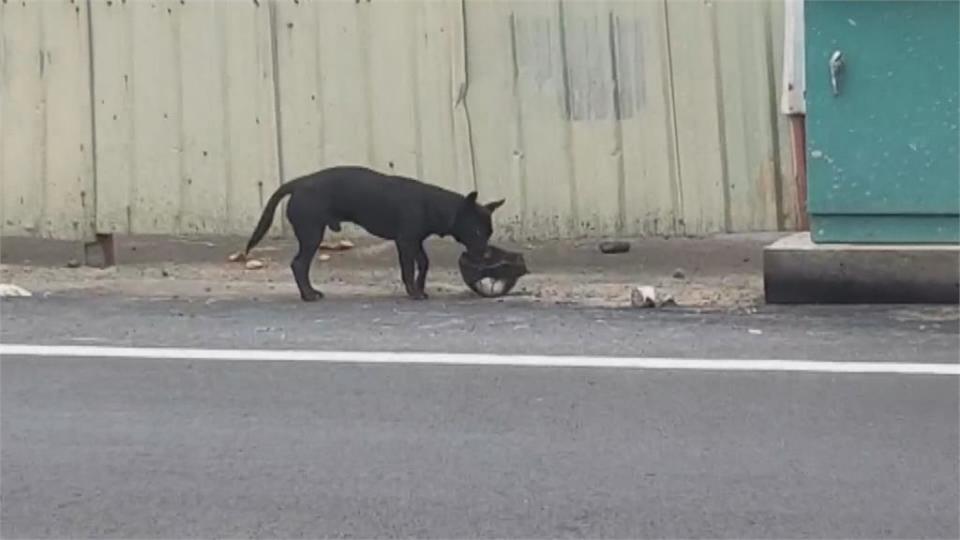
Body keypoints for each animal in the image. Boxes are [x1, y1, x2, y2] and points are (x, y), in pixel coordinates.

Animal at [244, 166, 506, 300]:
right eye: (476, 231)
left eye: (489, 232)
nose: (486, 256)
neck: (435, 205)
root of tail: (297, 183)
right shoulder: (405, 242)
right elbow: (408, 269)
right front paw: (413, 293)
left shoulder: (415, 242)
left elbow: (424, 263)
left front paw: (421, 288)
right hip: (311, 234)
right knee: (299, 264)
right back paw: (309, 295)